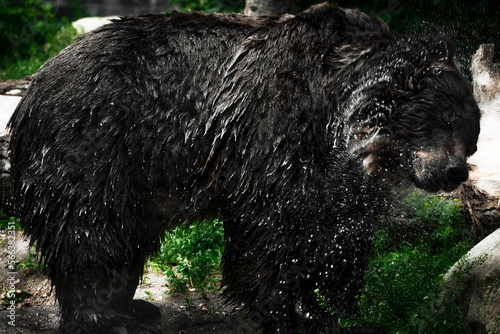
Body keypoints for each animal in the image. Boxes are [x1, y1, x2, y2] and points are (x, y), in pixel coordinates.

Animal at [9, 2, 480, 334]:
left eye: (472, 130)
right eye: (444, 120)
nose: (455, 172)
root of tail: (31, 89)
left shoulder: (344, 175)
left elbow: (341, 229)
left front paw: (340, 305)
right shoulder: (276, 123)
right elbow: (275, 223)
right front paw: (283, 309)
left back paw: (135, 306)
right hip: (95, 143)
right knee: (92, 233)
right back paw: (105, 316)